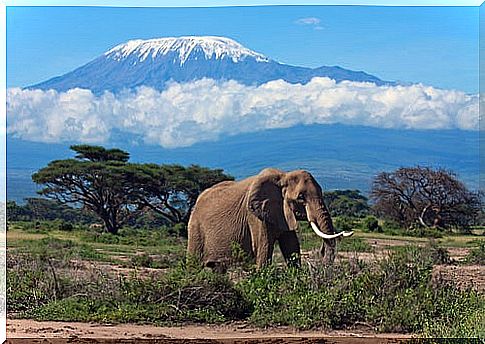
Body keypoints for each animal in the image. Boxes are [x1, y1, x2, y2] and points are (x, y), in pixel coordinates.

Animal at [186, 168, 352, 270]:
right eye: (300, 197)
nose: (321, 251)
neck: (283, 176)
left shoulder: (282, 213)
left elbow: (291, 247)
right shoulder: (254, 215)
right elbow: (264, 249)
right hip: (195, 227)